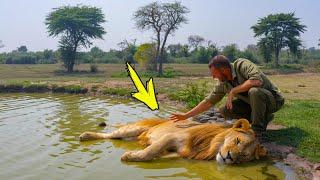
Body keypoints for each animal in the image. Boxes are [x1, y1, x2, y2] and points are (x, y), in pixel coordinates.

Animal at [79, 118, 266, 165]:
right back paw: (86, 135)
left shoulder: (178, 153)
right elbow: (150, 152)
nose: (230, 157)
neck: (210, 147)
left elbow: (155, 153)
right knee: (109, 135)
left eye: (243, 156)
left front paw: (134, 153)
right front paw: (129, 156)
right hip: (131, 129)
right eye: (237, 140)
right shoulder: (172, 137)